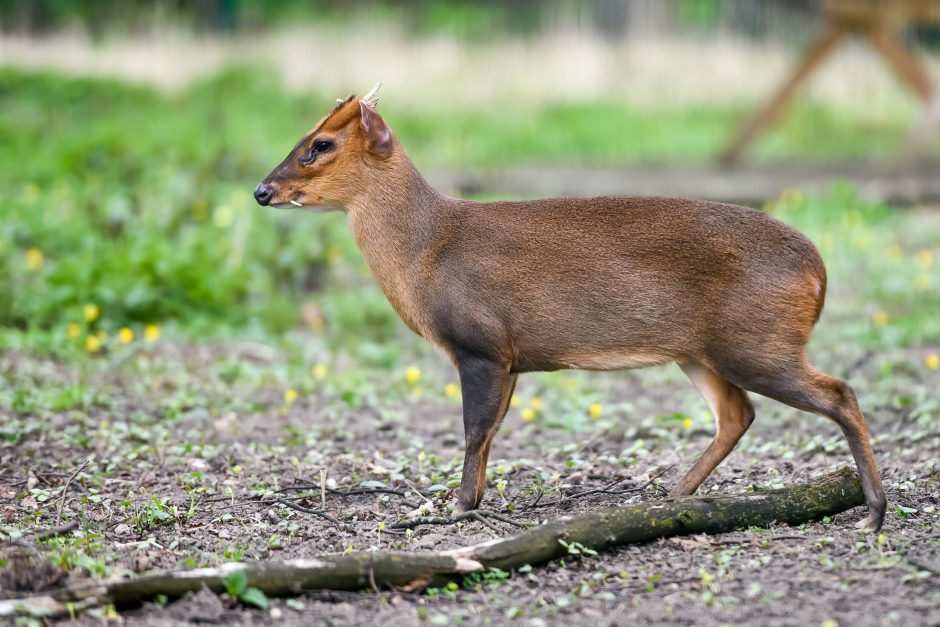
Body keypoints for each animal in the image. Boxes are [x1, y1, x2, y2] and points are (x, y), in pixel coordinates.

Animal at [253, 83, 884, 532]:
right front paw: (471, 500)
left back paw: (873, 512)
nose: (261, 191)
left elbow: (474, 429)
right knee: (738, 413)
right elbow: (492, 431)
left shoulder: (480, 344)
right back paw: (671, 497)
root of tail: (819, 270)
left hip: (757, 341)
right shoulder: (509, 357)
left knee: (839, 393)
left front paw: (455, 507)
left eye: (320, 145)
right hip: (703, 351)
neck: (427, 252)